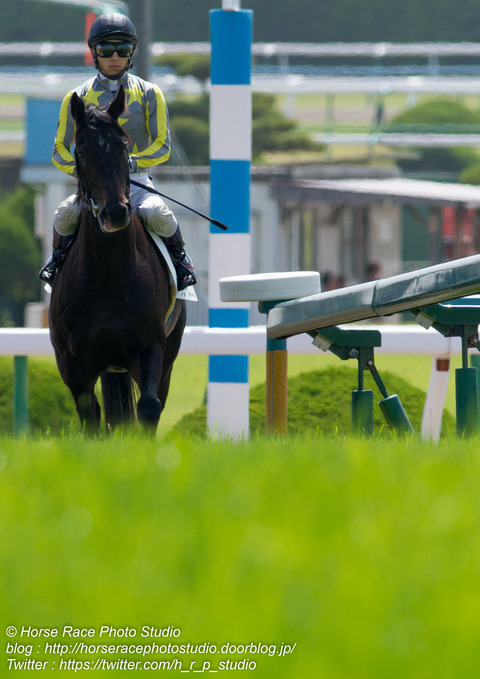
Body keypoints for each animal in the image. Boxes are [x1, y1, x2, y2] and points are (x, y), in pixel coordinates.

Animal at [49, 86, 186, 436]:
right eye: (82, 152)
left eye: (124, 147)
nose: (115, 213)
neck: (107, 275)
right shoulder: (71, 360)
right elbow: (90, 414)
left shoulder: (151, 347)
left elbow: (148, 408)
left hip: (167, 354)